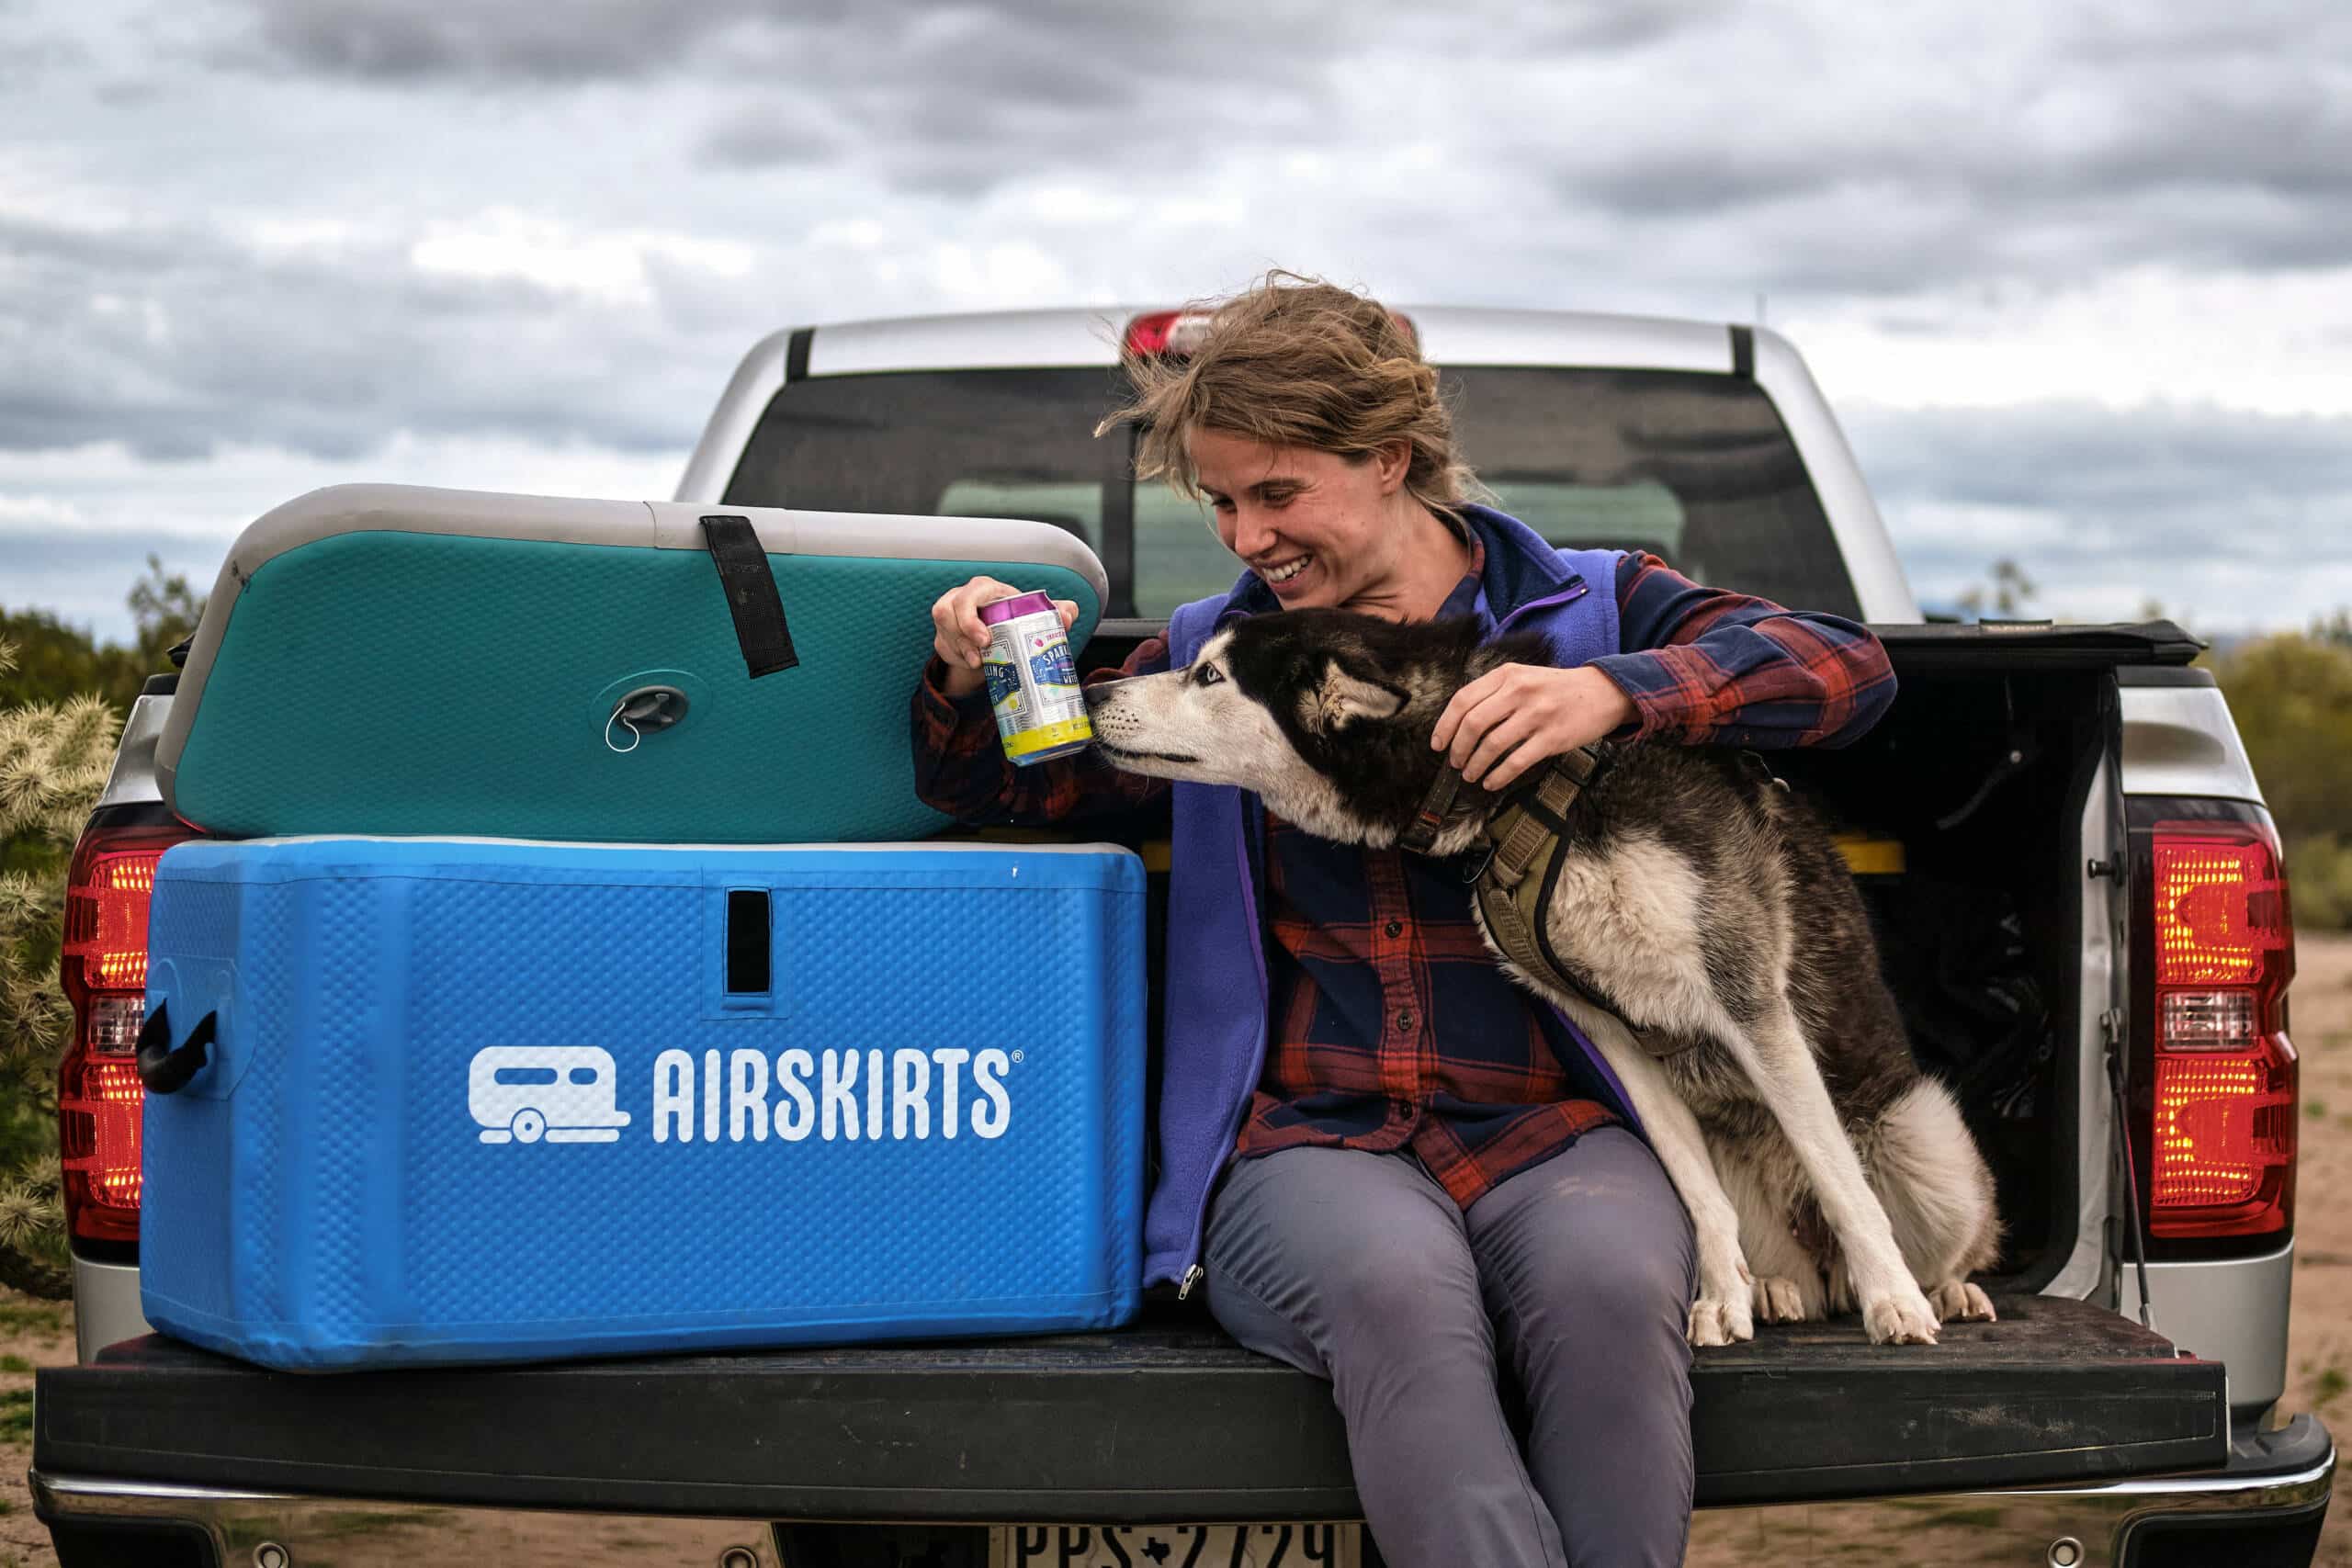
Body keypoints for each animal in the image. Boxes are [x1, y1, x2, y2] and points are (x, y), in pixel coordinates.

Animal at [1091, 611, 1994, 1354]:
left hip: (1924, 1137)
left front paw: (1893, 1302)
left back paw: (1942, 1290)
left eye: (1210, 676)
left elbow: (1840, 1178)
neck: (1528, 793)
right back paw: (1772, 1288)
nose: (1095, 689)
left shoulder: (1746, 997)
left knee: (1919, 1218)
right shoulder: (1611, 1031)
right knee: (1786, 1252)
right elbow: (1699, 1192)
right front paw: (1721, 1296)